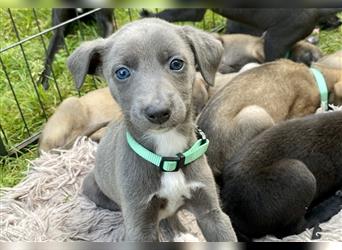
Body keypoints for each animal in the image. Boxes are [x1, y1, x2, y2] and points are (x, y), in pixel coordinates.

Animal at [68, 18, 236, 241]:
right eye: (122, 72)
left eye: (176, 63)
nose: (158, 112)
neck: (168, 156)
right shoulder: (141, 225)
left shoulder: (211, 213)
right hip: (93, 187)